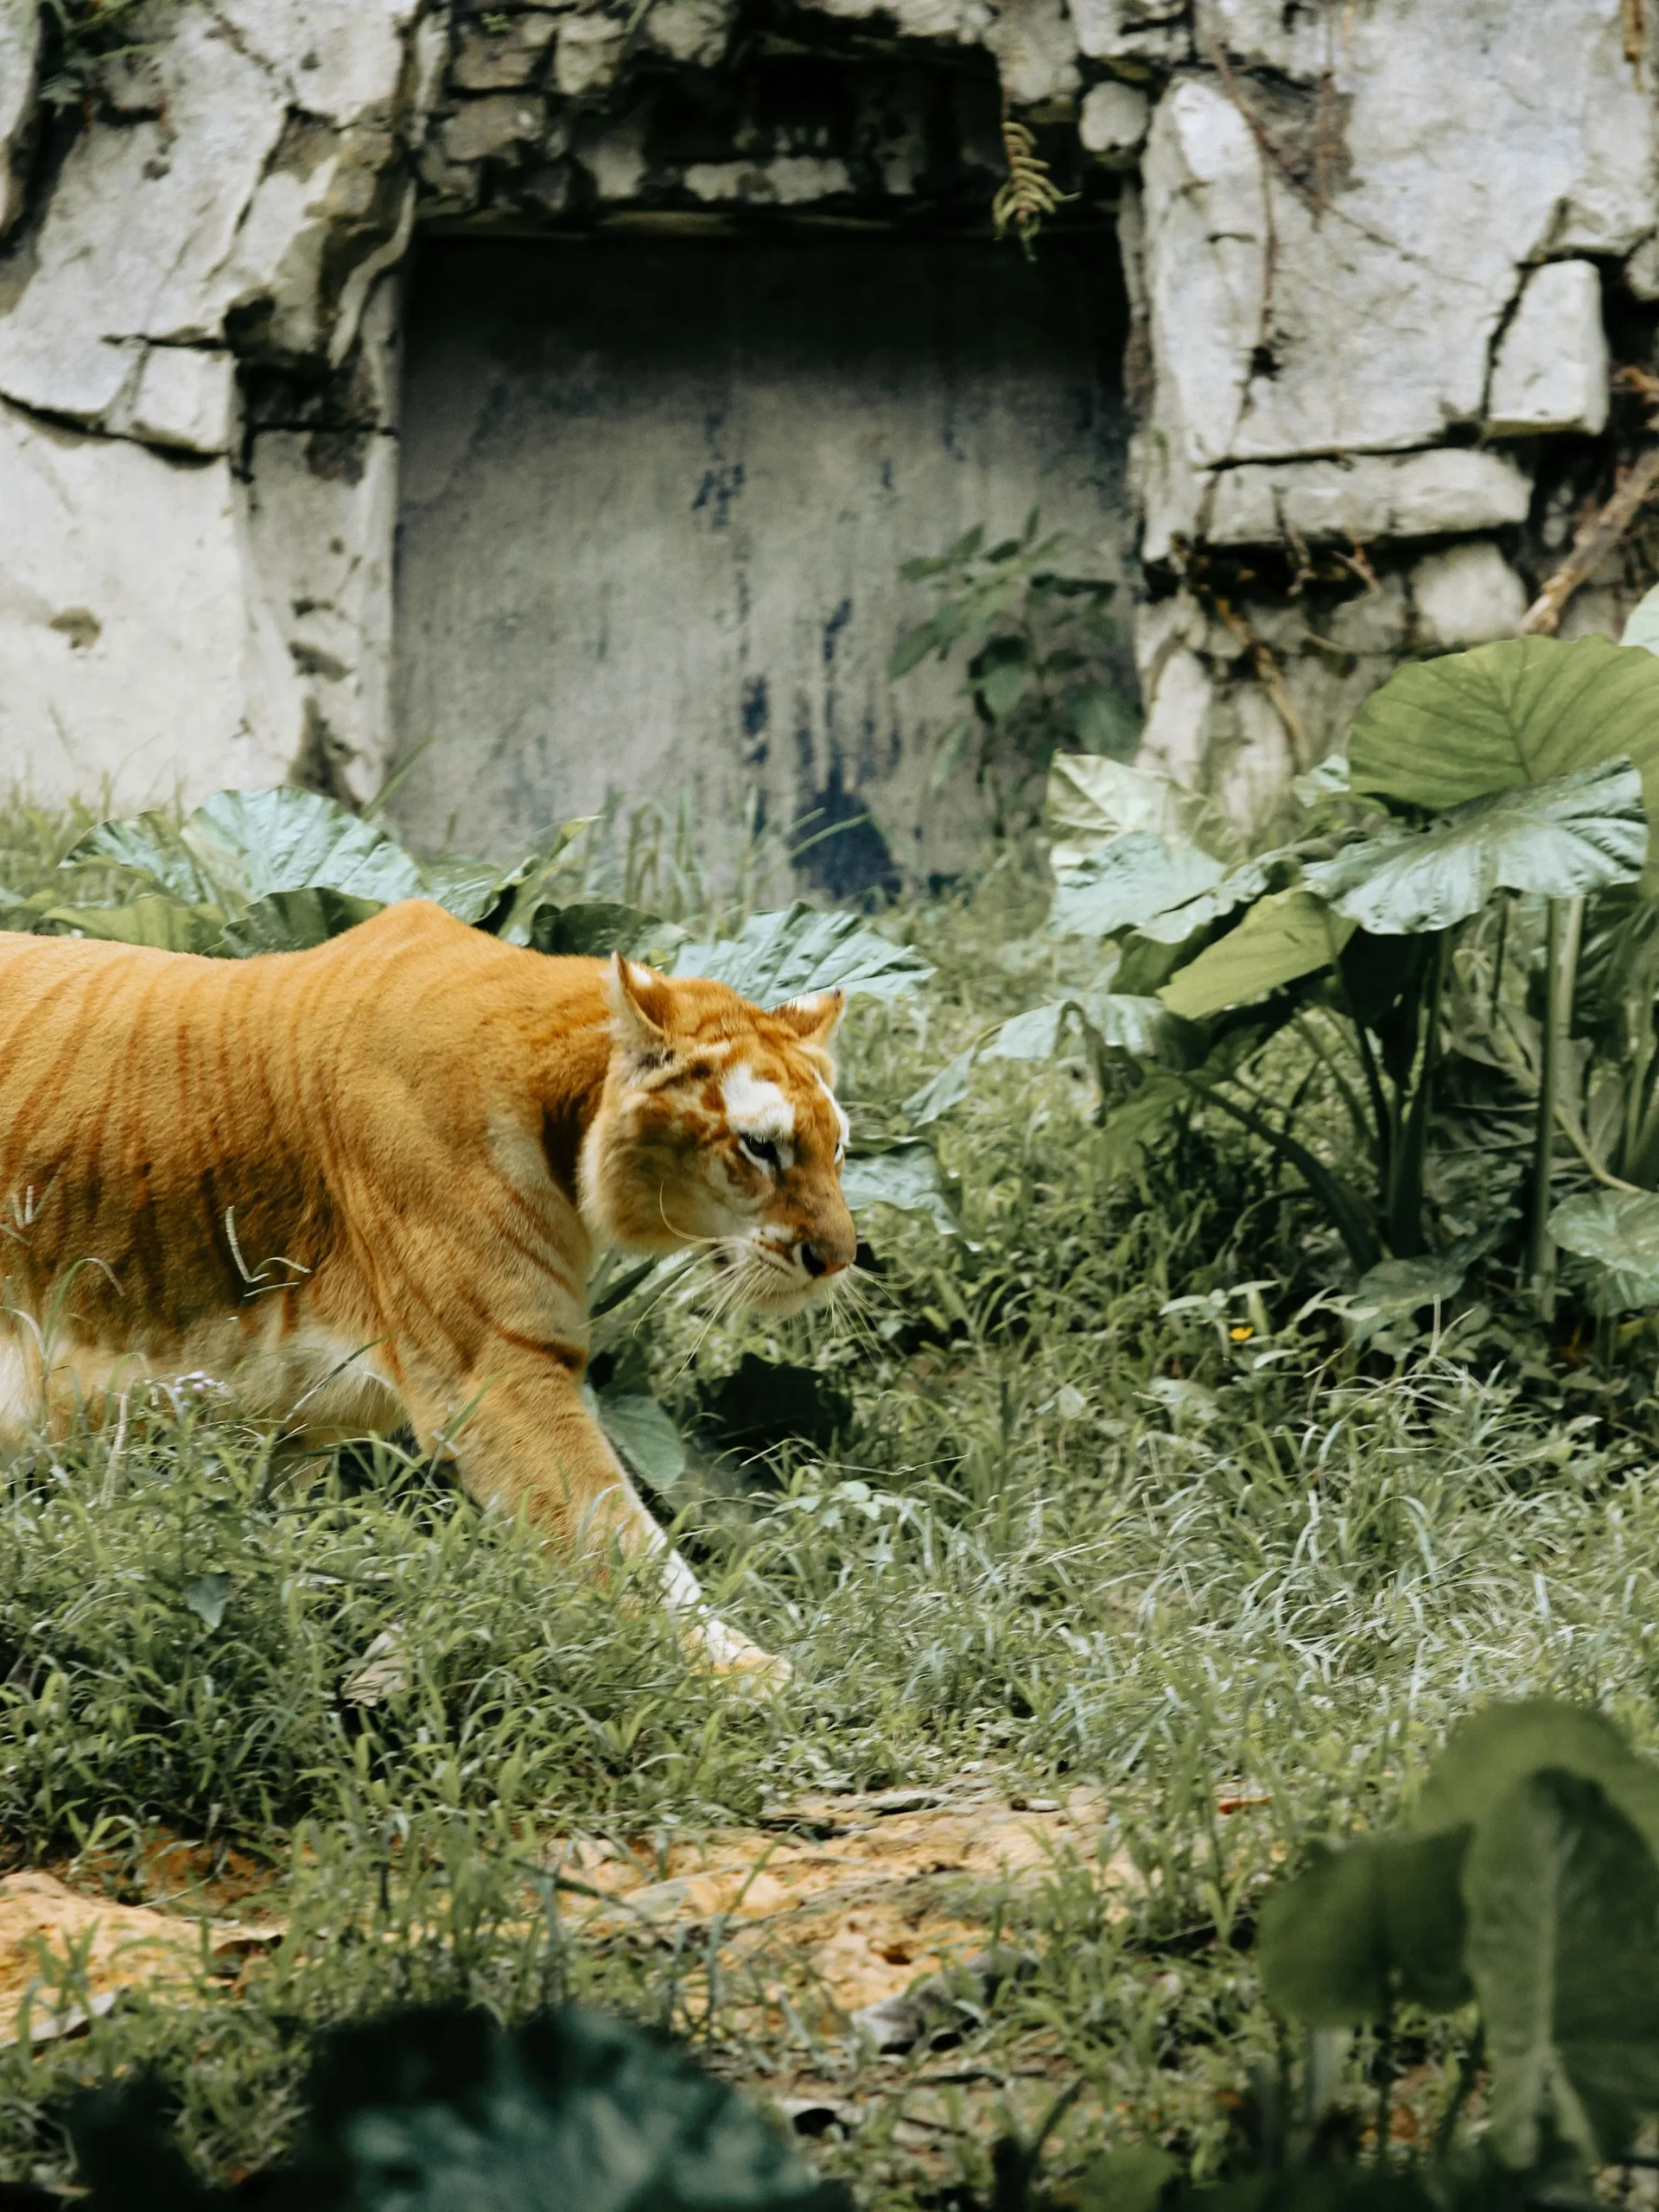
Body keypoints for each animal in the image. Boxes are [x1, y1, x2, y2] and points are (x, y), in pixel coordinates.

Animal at [0, 898, 858, 1672]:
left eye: (838, 1147)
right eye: (762, 1148)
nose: (840, 1257)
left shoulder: (292, 1417)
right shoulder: (498, 1373)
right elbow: (617, 1534)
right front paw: (749, 1678)